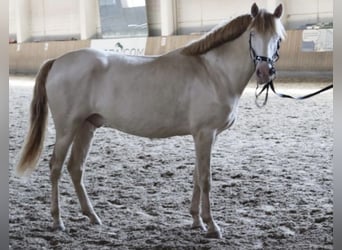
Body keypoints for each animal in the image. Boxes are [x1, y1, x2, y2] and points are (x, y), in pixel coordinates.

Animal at [15, 2, 286, 239]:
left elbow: (197, 176)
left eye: (278, 37)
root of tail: (57, 61)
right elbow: (206, 179)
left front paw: (196, 220)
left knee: (75, 168)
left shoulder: (205, 136)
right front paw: (212, 226)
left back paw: (92, 216)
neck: (213, 72)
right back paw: (57, 221)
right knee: (55, 167)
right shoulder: (205, 134)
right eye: (252, 34)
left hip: (86, 126)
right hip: (67, 128)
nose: (265, 72)